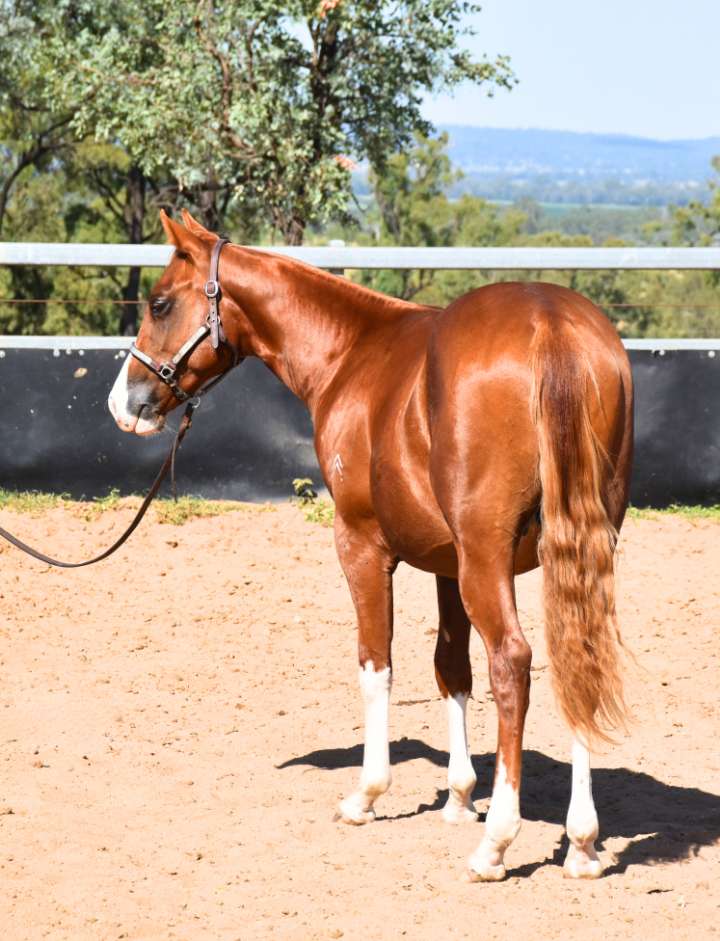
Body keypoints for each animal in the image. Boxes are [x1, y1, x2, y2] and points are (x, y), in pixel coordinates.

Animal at [108, 210, 633, 881]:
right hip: (574, 551)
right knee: (576, 656)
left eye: (159, 302)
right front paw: (459, 795)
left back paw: (497, 843)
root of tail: (551, 323)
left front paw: (367, 793)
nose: (124, 403)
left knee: (513, 663)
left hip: (487, 559)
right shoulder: (446, 564)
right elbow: (450, 667)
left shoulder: (360, 543)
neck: (351, 353)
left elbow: (375, 663)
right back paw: (583, 843)